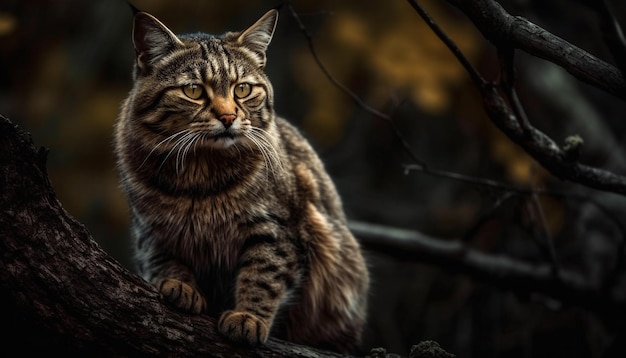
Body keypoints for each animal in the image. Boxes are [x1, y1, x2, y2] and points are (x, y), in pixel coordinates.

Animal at [113, 7, 366, 352]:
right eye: (193, 90)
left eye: (242, 89)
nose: (228, 117)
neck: (200, 174)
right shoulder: (151, 231)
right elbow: (164, 260)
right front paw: (179, 284)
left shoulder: (278, 229)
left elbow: (263, 275)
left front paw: (248, 318)